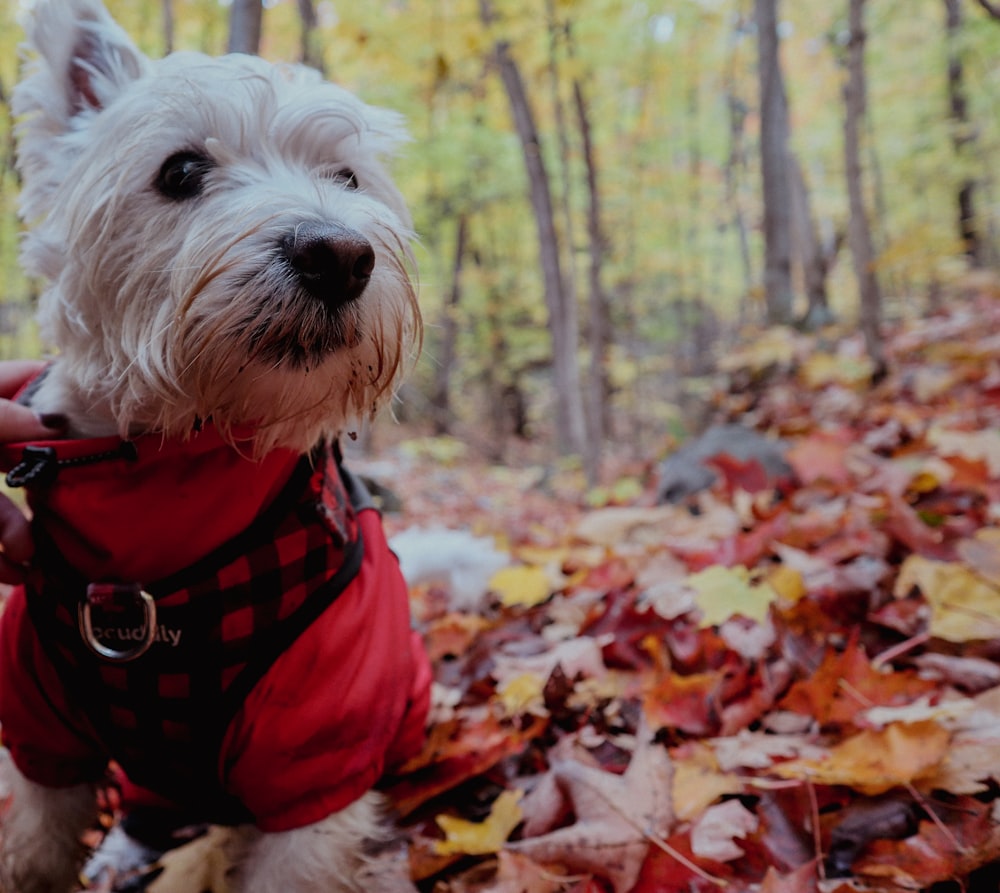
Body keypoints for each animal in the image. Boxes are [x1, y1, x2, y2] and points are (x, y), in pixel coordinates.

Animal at [0, 3, 428, 888]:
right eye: (182, 170)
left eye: (346, 177)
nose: (339, 255)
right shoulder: (38, 730)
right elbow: (31, 849)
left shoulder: (320, 747)